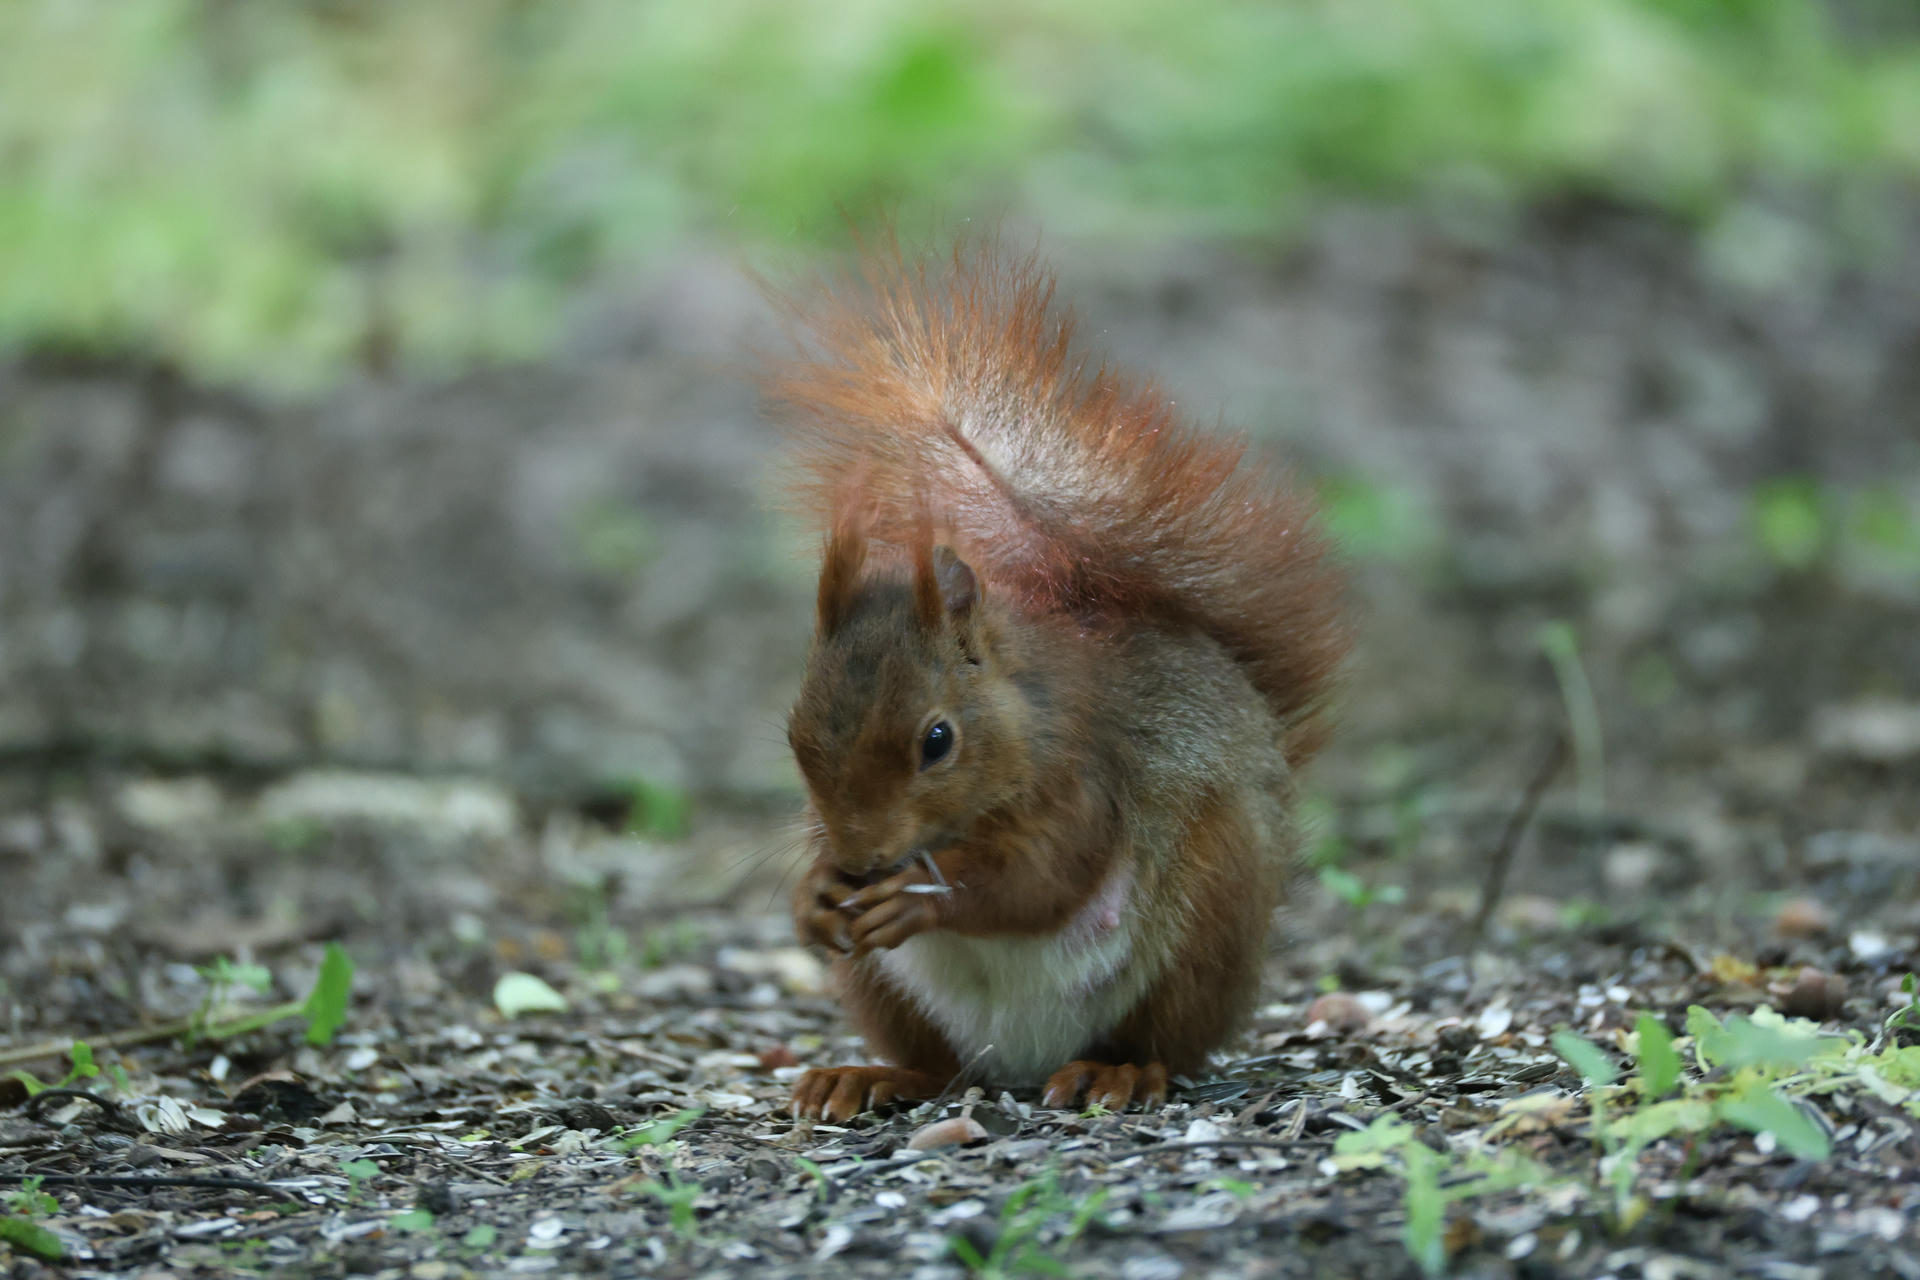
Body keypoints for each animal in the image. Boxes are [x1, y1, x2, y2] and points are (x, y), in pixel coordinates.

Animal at [766, 242, 1347, 1122]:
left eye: (938, 740)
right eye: (796, 738)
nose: (862, 862)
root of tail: (1022, 1062)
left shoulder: (1082, 776)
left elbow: (1044, 879)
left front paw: (926, 899)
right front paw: (813, 895)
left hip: (1209, 910)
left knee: (1165, 1041)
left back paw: (1118, 1072)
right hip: (880, 989)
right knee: (937, 1068)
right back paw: (870, 1077)